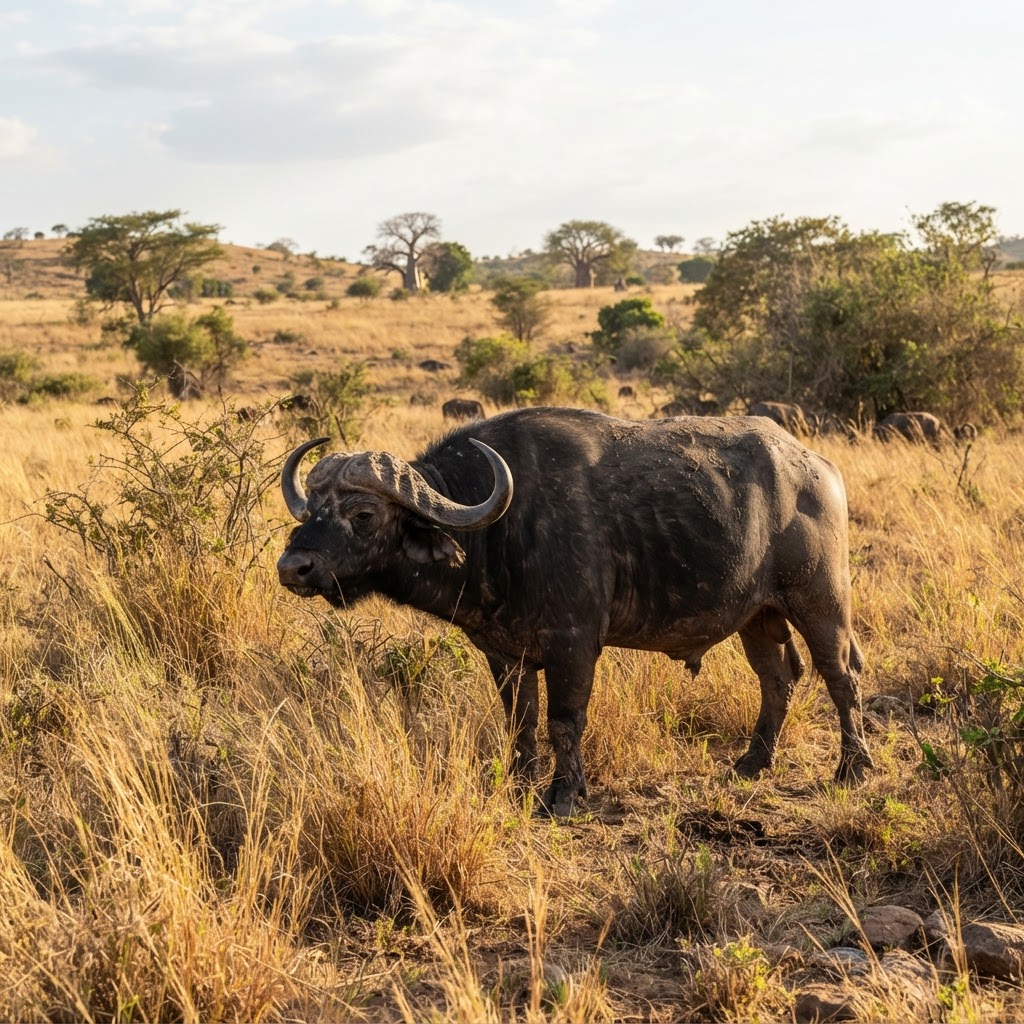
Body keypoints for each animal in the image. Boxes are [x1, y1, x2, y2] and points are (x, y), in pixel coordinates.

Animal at [277, 408, 872, 816]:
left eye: (363, 513)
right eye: (311, 509)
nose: (293, 567)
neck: (502, 530)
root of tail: (815, 467)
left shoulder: (574, 645)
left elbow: (565, 720)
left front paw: (564, 795)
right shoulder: (505, 653)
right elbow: (521, 721)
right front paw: (520, 783)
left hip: (821, 601)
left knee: (840, 676)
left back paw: (853, 767)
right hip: (757, 616)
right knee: (777, 677)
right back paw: (752, 763)